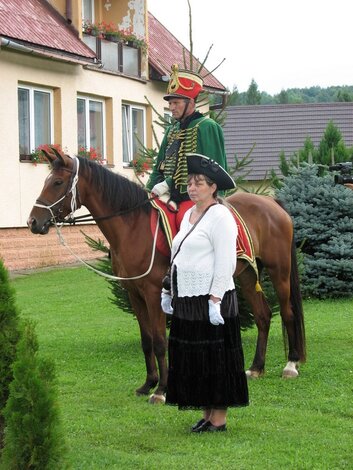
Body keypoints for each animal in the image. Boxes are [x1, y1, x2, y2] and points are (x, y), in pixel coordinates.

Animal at [26, 148, 306, 404]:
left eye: (57, 182)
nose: (33, 222)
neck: (132, 226)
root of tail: (273, 204)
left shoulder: (153, 293)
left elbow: (161, 340)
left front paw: (161, 390)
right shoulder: (134, 293)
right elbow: (147, 340)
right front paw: (148, 383)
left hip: (279, 272)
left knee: (288, 313)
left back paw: (291, 365)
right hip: (246, 274)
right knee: (263, 315)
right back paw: (257, 367)